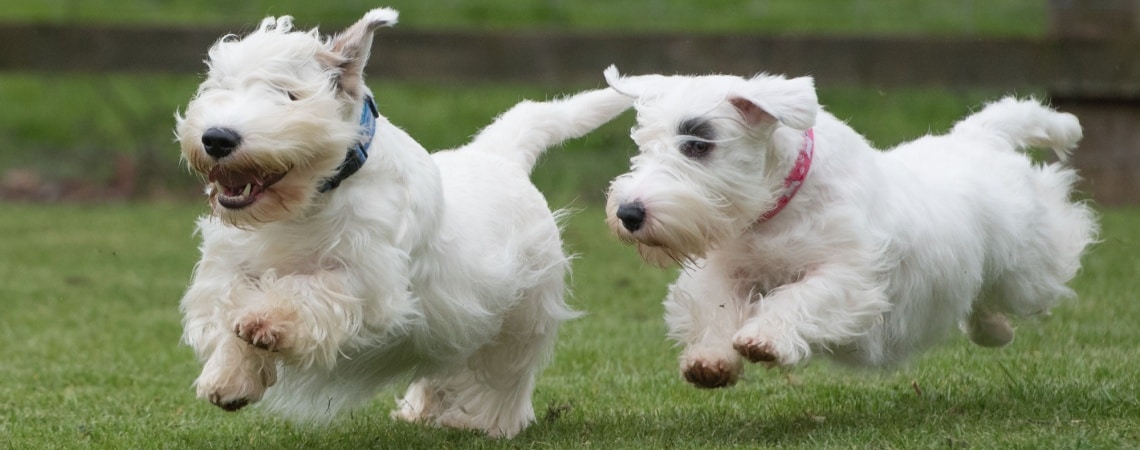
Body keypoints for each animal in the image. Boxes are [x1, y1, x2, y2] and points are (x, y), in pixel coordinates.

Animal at [606, 65, 1094, 389]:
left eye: (697, 144)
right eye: (643, 145)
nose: (628, 214)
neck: (779, 208)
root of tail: (979, 137)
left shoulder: (848, 274)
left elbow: (801, 296)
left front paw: (765, 338)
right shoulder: (727, 270)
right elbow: (717, 308)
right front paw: (710, 360)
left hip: (1030, 267)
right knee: (981, 304)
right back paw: (994, 330)